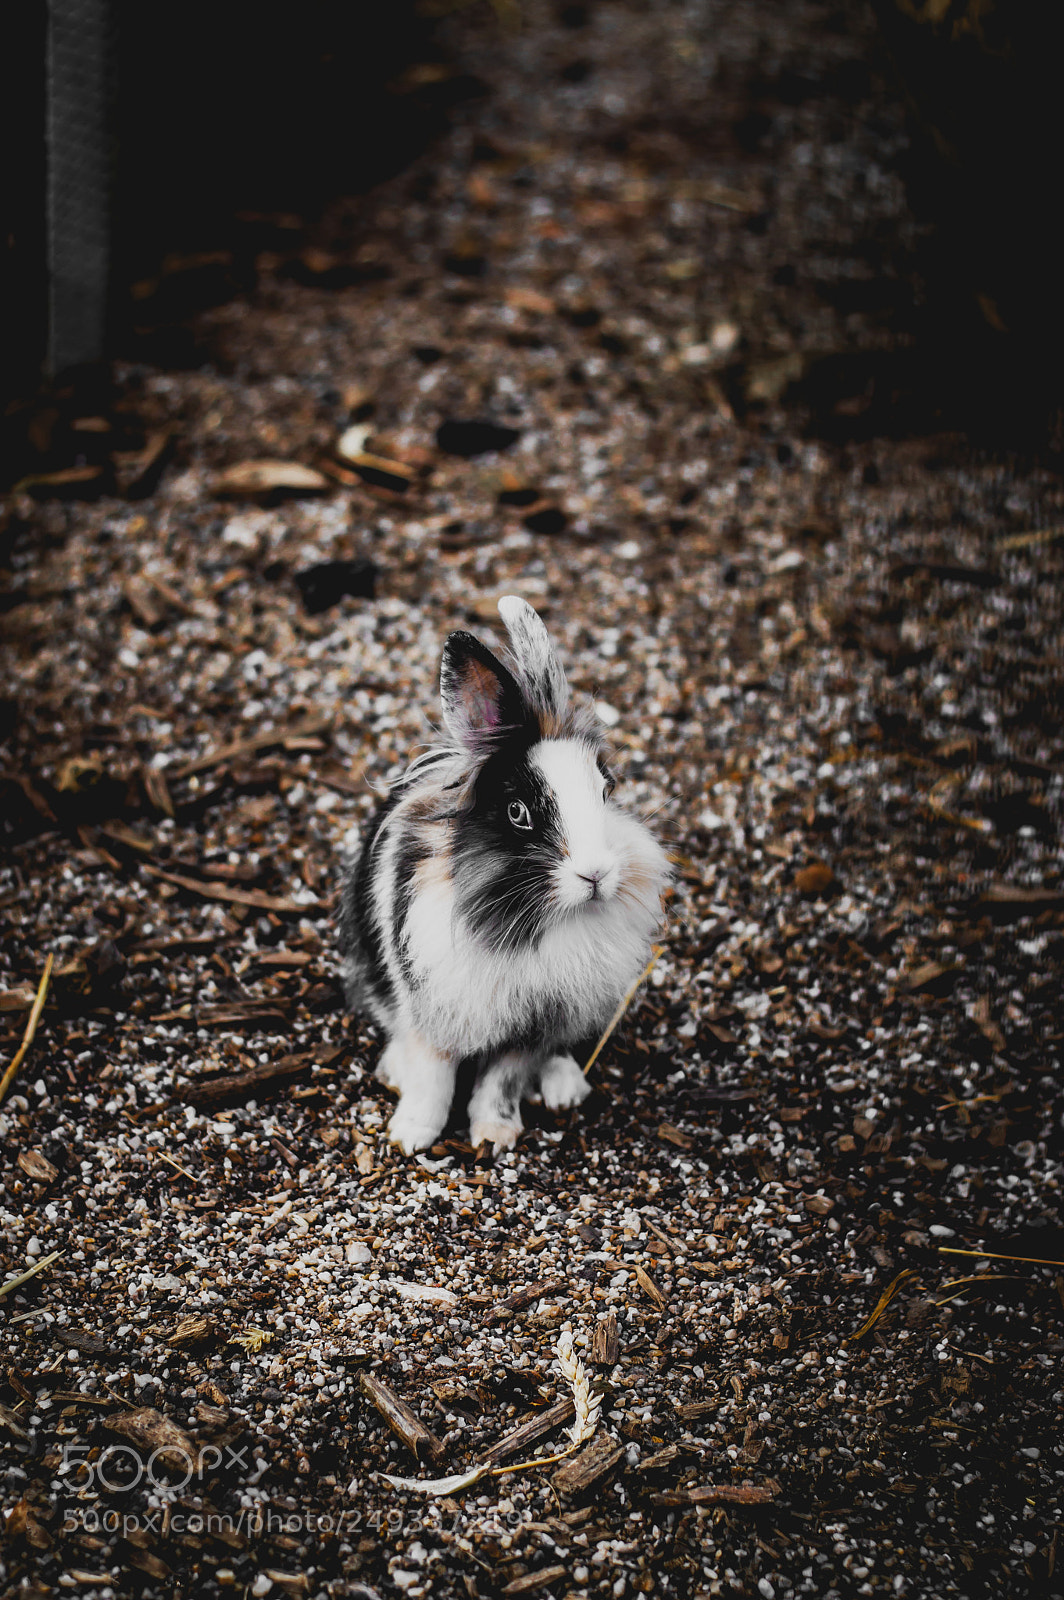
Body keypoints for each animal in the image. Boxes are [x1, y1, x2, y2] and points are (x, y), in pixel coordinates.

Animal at [339, 594, 670, 1154]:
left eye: (605, 791)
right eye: (518, 813)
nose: (596, 874)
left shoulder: (534, 1028)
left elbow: (503, 1080)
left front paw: (494, 1135)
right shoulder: (432, 1010)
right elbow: (433, 1076)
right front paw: (411, 1135)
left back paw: (564, 1089)